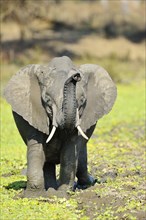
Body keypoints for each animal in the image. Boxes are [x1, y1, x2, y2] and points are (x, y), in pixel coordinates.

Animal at [4, 56, 117, 198]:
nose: (76, 76)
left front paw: (62, 194)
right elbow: (36, 148)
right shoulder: (33, 113)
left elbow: (70, 149)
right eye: (47, 101)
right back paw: (50, 189)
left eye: (82, 101)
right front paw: (34, 196)